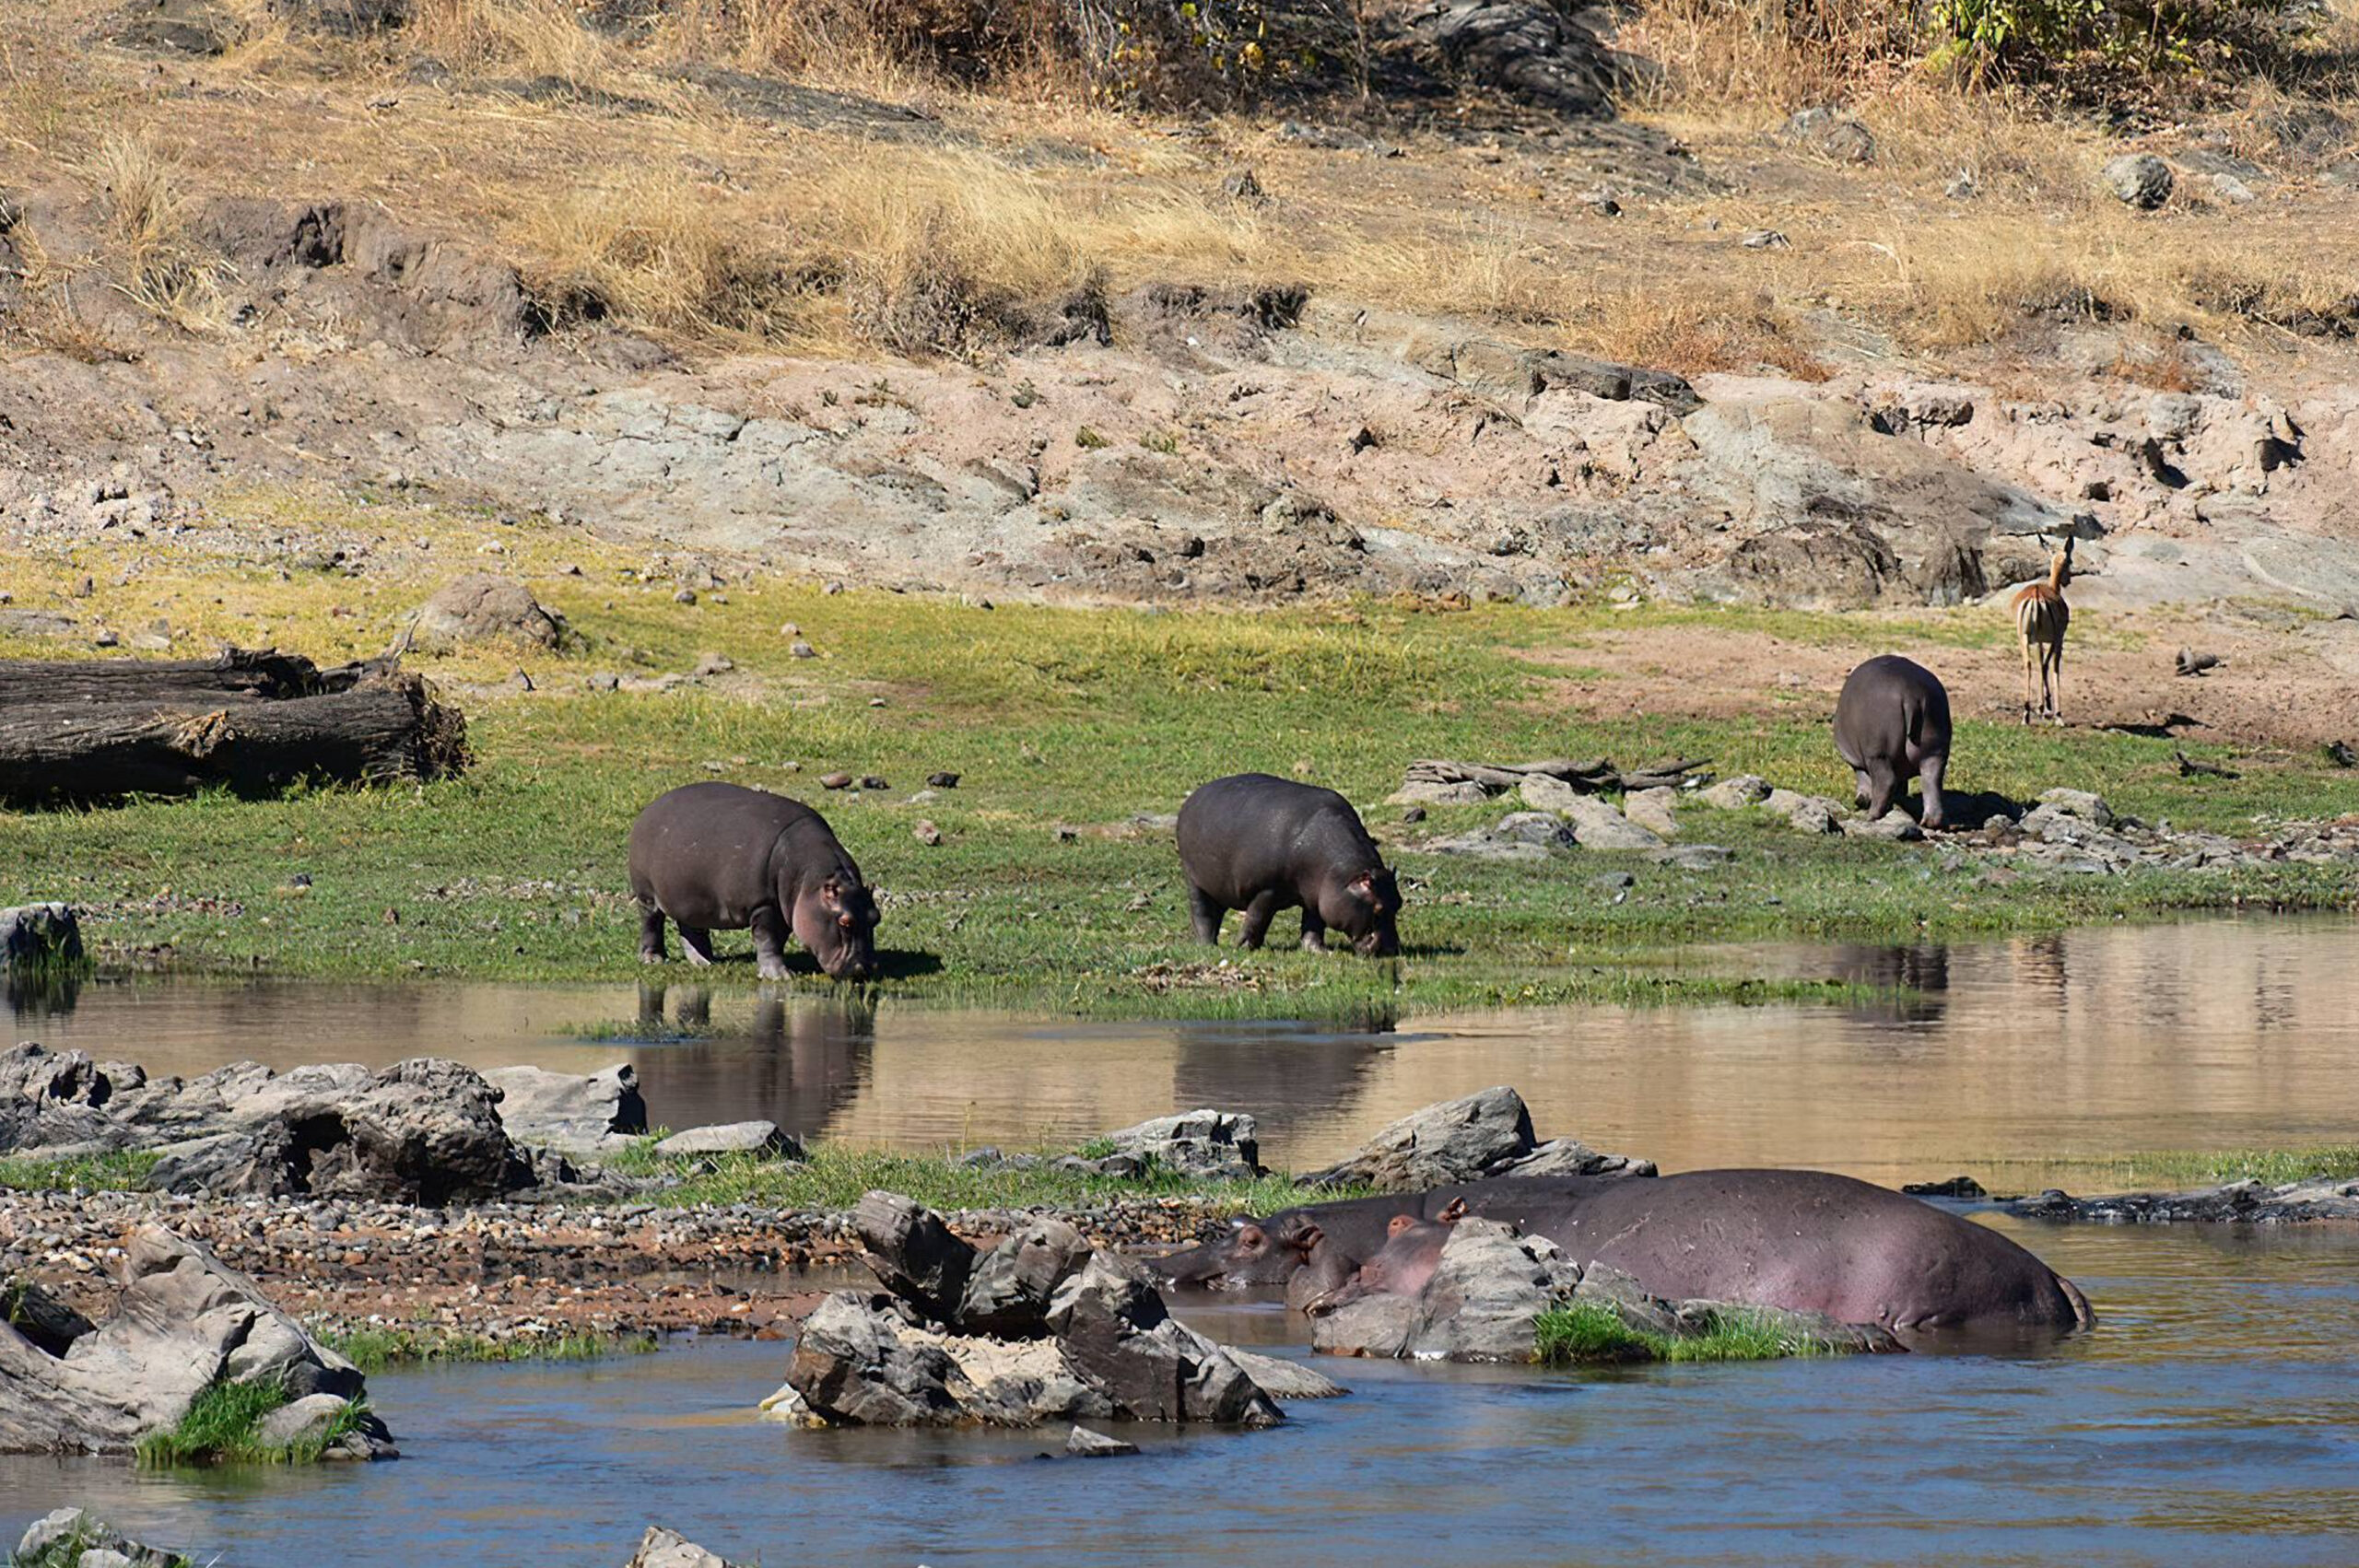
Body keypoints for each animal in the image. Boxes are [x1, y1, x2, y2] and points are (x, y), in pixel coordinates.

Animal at [627, 782, 886, 980]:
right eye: (845, 922)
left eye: (876, 917)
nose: (866, 969)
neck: (811, 881)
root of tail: (652, 806)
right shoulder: (764, 905)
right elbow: (767, 940)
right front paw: (780, 977)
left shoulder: (783, 910)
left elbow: (776, 942)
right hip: (647, 894)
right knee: (651, 923)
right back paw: (653, 959)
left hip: (692, 897)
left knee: (691, 929)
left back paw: (704, 962)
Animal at [1174, 768, 1396, 952]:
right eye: (1378, 909)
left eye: (1398, 904)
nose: (1392, 949)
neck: (1340, 875)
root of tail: (1192, 797)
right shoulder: (1267, 889)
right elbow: (1257, 918)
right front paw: (1243, 947)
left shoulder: (1316, 895)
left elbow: (1313, 924)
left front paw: (1318, 951)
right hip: (1194, 880)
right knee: (1202, 913)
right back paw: (1206, 946)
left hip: (1219, 885)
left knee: (1216, 911)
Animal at [1821, 655, 1953, 829]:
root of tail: (1911, 692)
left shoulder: (1857, 761)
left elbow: (1864, 779)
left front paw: (1862, 800)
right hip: (1935, 750)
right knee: (1932, 780)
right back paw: (1930, 823)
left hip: (1878, 753)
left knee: (1886, 781)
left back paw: (1871, 816)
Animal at [2019, 537, 2075, 726]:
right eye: (2070, 561)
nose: (2068, 581)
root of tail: (2036, 596)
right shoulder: (2058, 639)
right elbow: (2051, 666)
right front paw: (2053, 711)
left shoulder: (2040, 642)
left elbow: (2041, 662)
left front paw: (2042, 707)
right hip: (2049, 639)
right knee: (2048, 666)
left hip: (2024, 638)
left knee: (2028, 664)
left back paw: (2026, 714)